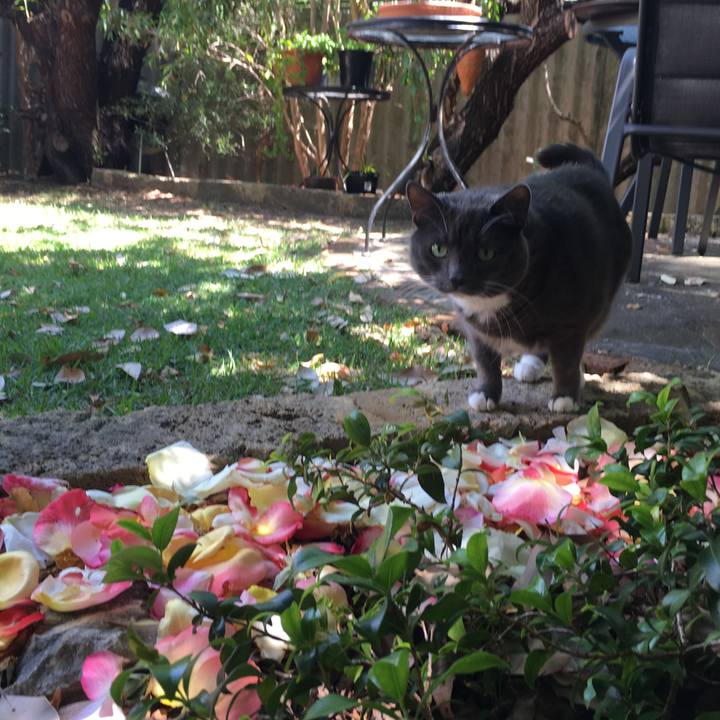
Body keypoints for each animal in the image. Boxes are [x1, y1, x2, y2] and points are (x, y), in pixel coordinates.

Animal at [406, 143, 631, 413]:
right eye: (438, 249)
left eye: (486, 253)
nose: (456, 277)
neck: (489, 302)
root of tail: (589, 170)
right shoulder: (475, 330)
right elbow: (485, 360)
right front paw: (486, 394)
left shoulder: (572, 320)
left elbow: (566, 359)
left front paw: (565, 397)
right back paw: (530, 364)